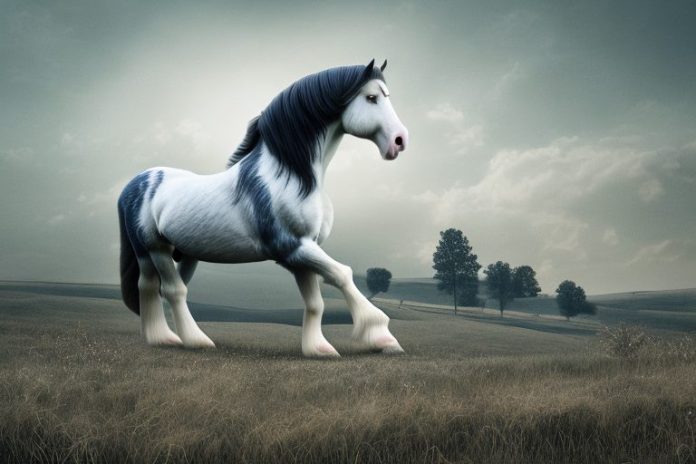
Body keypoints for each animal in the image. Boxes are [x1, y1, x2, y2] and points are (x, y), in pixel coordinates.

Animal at [117, 59, 409, 357]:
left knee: (150, 287)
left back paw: (162, 338)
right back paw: (195, 340)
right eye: (371, 98)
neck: (289, 176)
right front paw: (381, 336)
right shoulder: (292, 247)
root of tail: (136, 182)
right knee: (173, 291)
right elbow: (342, 274)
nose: (400, 141)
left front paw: (318, 348)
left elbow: (315, 303)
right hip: (155, 248)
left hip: (180, 254)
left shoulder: (303, 251)